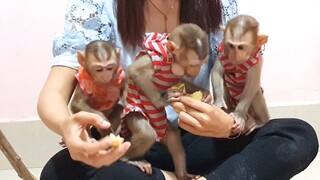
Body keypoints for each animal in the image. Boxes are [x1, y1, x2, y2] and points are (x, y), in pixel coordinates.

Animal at [121, 23, 211, 179]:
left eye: (201, 64)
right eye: (194, 64)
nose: (197, 71)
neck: (171, 61)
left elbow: (180, 81)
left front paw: (205, 93)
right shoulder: (156, 58)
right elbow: (135, 71)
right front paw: (161, 101)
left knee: (173, 137)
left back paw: (183, 175)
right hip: (133, 115)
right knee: (147, 133)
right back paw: (129, 159)